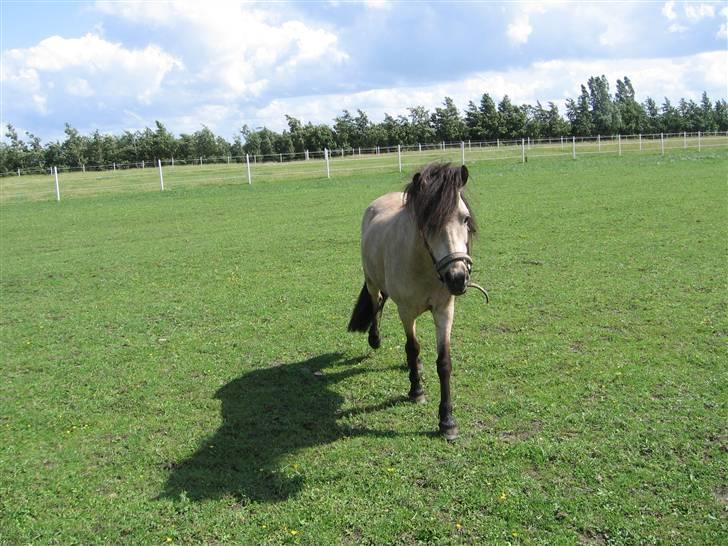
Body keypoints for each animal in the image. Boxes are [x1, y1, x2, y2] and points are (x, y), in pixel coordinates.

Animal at [350, 162, 480, 438]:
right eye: (428, 222)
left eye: (465, 219)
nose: (457, 278)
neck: (426, 267)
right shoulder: (407, 312)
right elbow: (412, 347)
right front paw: (416, 391)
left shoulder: (444, 310)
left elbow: (444, 362)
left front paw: (447, 421)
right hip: (372, 280)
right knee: (376, 302)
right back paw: (375, 339)